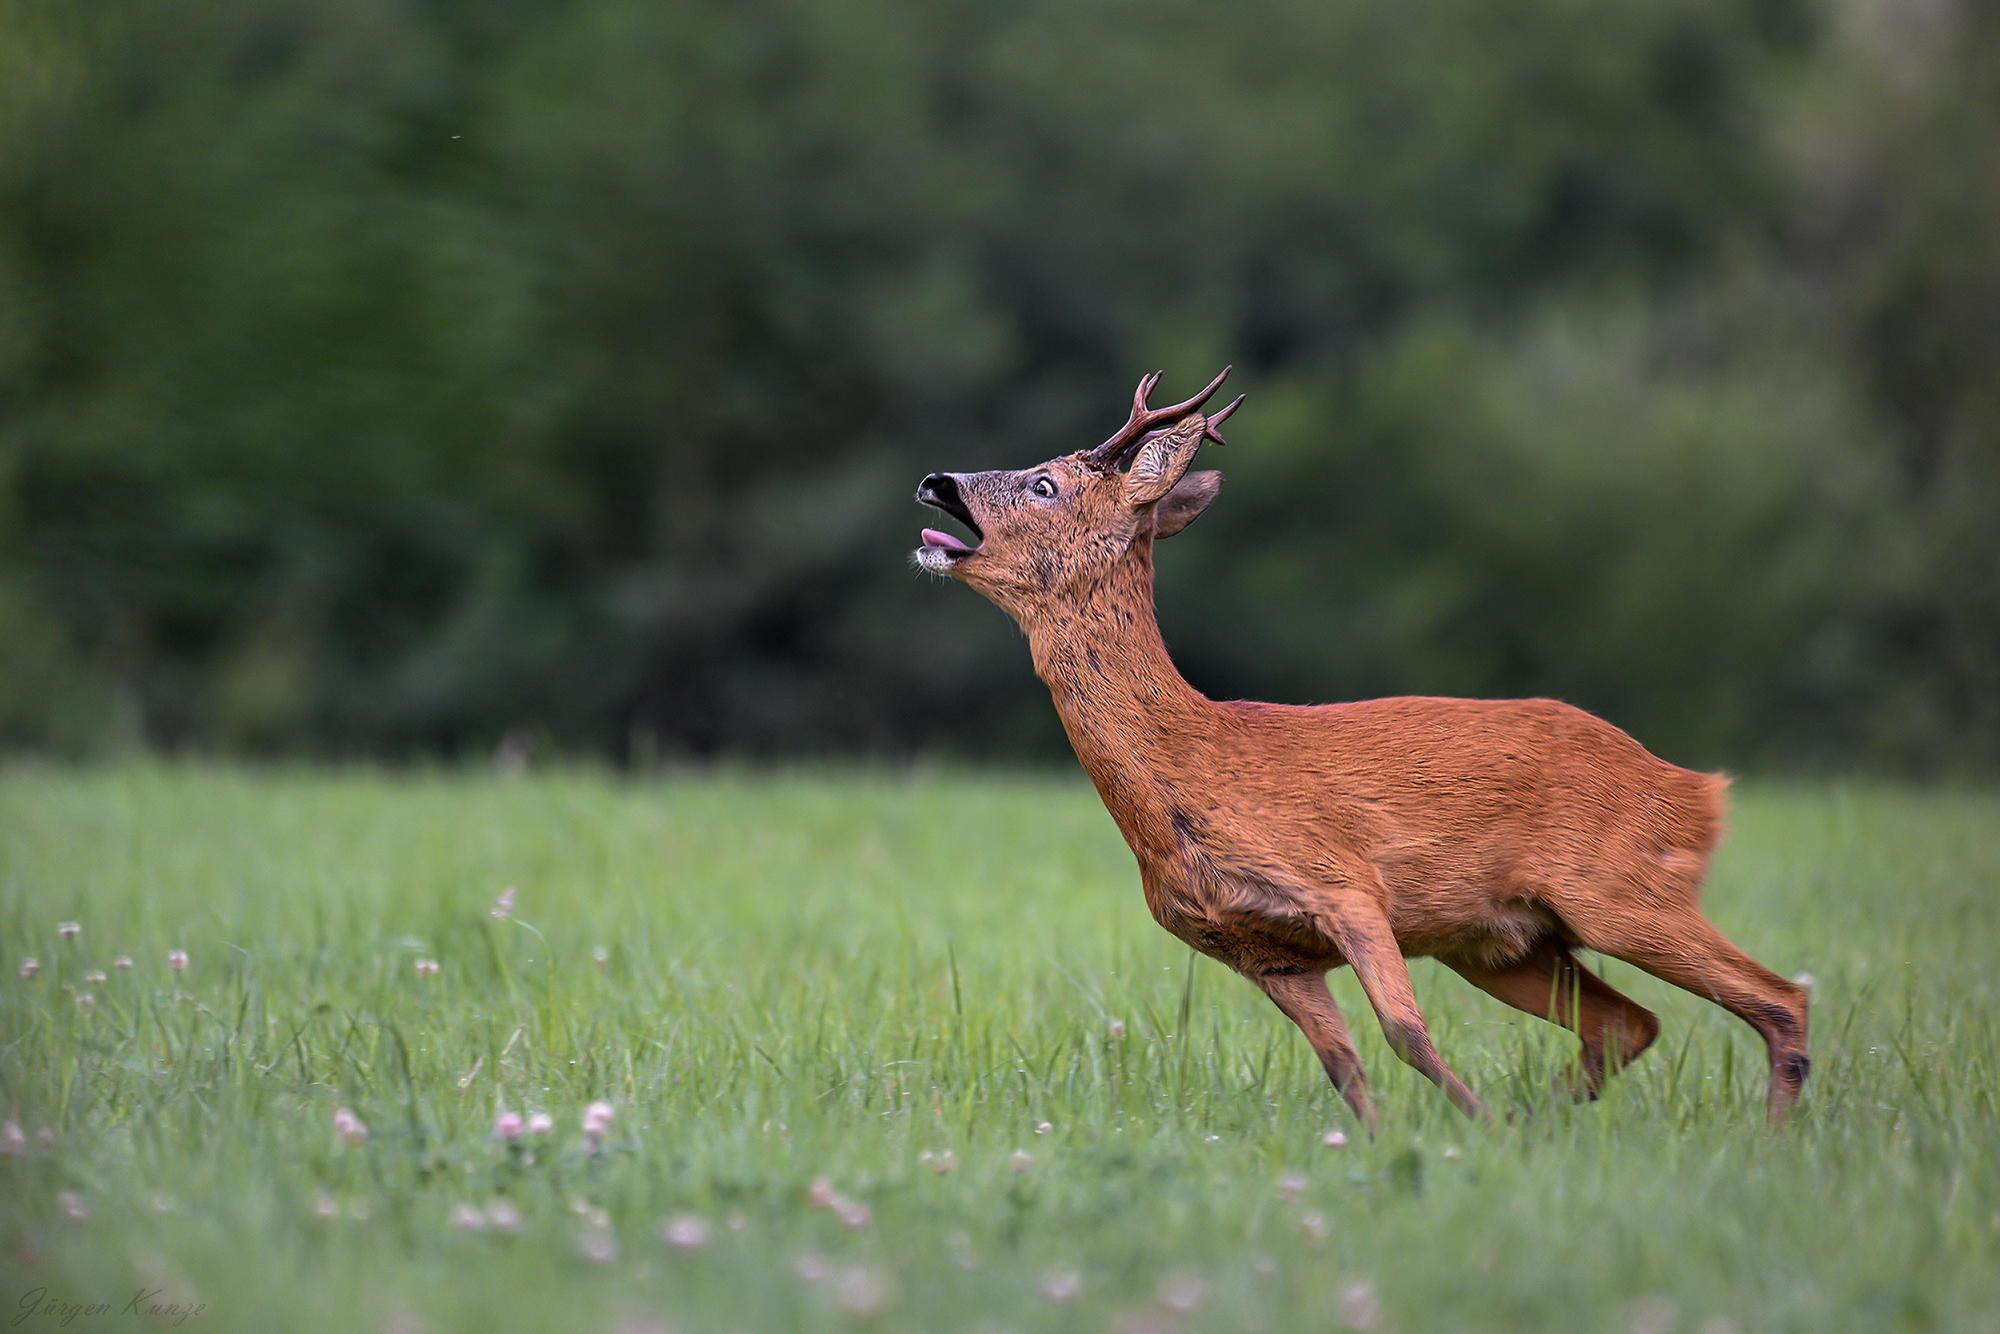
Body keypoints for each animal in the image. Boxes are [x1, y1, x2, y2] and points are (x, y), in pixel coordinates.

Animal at [916, 366, 1816, 1128]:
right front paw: (1407, 1143)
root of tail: (1697, 792)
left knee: (1778, 997)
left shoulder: (1346, 886)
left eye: (1045, 484)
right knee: (1633, 1023)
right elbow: (1345, 1066)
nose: (936, 482)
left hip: (1620, 890)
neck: (1188, 776)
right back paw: (1551, 1125)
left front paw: (1475, 1130)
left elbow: (1404, 1034)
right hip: (1503, 943)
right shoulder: (1264, 954)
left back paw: (1763, 1143)